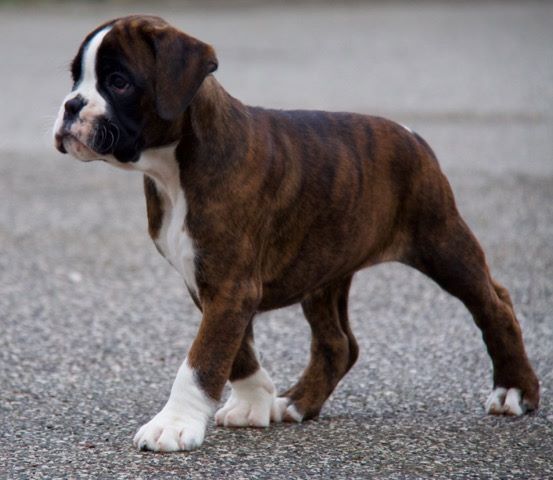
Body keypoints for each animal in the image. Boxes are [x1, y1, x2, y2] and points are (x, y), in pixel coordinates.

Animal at [52, 15, 540, 450]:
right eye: (76, 78)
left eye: (118, 82)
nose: (71, 105)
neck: (174, 165)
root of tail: (413, 135)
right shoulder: (209, 283)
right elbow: (237, 351)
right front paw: (255, 400)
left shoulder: (230, 285)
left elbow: (203, 359)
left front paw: (173, 425)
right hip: (325, 270)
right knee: (338, 344)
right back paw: (298, 402)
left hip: (441, 241)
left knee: (494, 304)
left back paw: (515, 390)